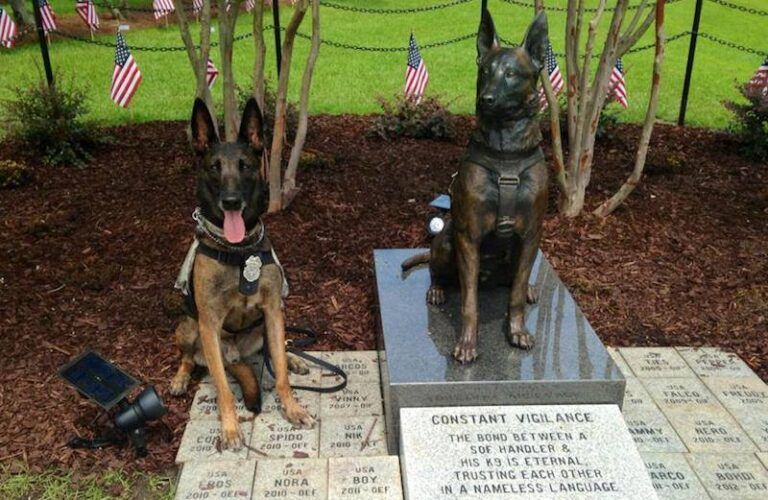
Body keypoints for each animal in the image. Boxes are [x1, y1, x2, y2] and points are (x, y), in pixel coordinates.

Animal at [170, 97, 314, 450]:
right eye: (214, 167)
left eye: (246, 166)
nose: (231, 201)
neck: (238, 251)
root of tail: (235, 354)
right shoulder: (209, 324)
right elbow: (223, 388)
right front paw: (230, 428)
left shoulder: (273, 311)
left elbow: (281, 374)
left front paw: (292, 407)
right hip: (188, 327)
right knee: (188, 357)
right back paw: (181, 377)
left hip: (266, 324)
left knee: (274, 351)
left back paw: (293, 357)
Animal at [404, 10, 548, 364]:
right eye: (484, 71)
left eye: (511, 74)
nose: (486, 99)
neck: (506, 152)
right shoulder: (468, 236)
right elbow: (469, 302)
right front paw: (468, 341)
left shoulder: (531, 235)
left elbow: (514, 297)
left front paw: (516, 330)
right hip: (445, 242)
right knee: (437, 270)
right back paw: (438, 289)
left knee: (516, 282)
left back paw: (527, 288)